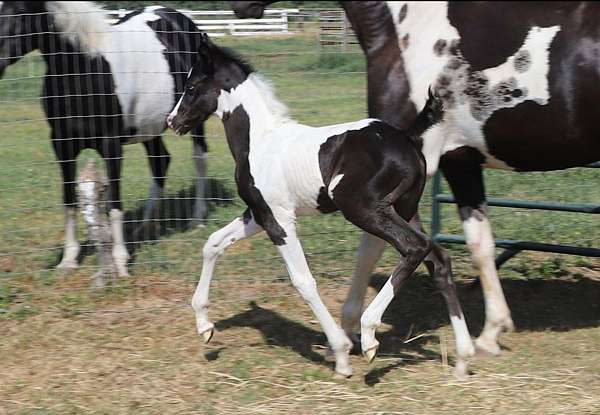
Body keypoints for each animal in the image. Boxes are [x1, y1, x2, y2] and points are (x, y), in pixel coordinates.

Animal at [0, 1, 209, 278]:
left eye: (19, 11)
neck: (86, 69)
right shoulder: (62, 145)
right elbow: (69, 199)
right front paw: (68, 260)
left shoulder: (111, 145)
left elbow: (114, 203)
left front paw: (120, 262)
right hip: (150, 127)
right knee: (160, 162)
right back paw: (146, 226)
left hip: (193, 118)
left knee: (199, 157)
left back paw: (197, 218)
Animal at [168, 37, 474, 378]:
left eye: (192, 86)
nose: (173, 122)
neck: (260, 141)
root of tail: (407, 139)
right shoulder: (258, 214)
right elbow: (213, 244)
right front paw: (204, 326)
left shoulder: (279, 221)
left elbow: (303, 281)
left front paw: (340, 353)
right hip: (404, 209)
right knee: (439, 259)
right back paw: (463, 357)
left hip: (362, 209)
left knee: (415, 247)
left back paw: (369, 335)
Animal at [233, 0, 600, 358]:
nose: (240, 9)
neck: (405, 29)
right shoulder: (459, 162)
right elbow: (480, 243)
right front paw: (492, 332)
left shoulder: (407, 170)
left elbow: (374, 246)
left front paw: (351, 329)